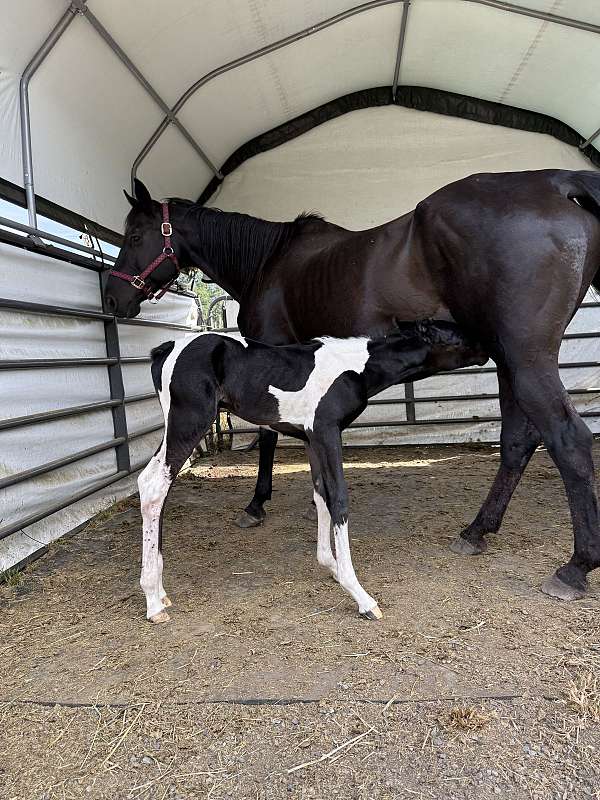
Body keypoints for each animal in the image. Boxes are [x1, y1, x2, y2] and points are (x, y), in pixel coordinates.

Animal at [139, 320, 487, 623]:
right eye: (456, 337)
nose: (488, 350)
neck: (355, 368)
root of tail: (166, 348)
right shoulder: (326, 431)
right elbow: (339, 499)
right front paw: (360, 595)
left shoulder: (311, 439)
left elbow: (321, 495)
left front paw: (330, 565)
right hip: (189, 421)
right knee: (156, 485)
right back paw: (153, 601)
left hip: (177, 425)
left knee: (152, 484)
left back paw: (161, 591)